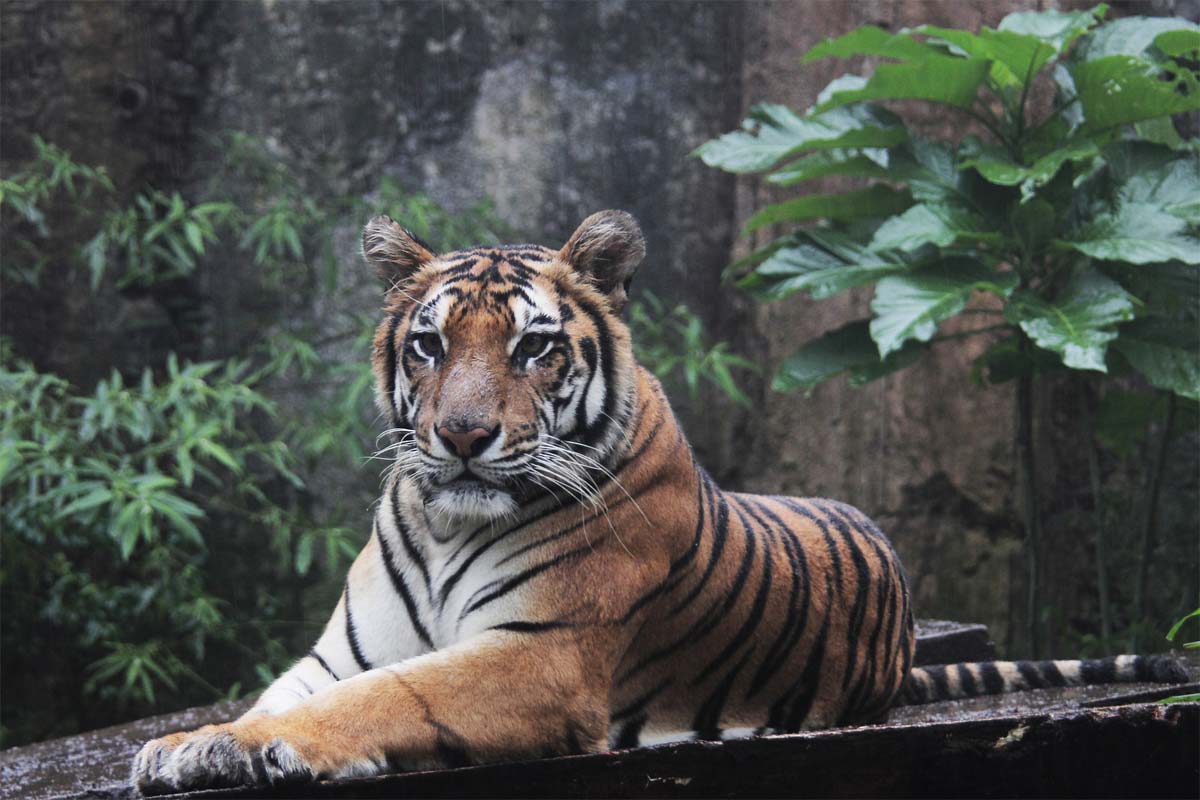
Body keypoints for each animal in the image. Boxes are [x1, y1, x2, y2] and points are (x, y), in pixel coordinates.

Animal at [129, 209, 1180, 791]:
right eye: (428, 345)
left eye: (532, 347)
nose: (462, 437)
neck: (445, 521)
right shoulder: (333, 654)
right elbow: (288, 695)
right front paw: (194, 743)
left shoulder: (540, 657)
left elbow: (385, 698)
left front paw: (254, 747)